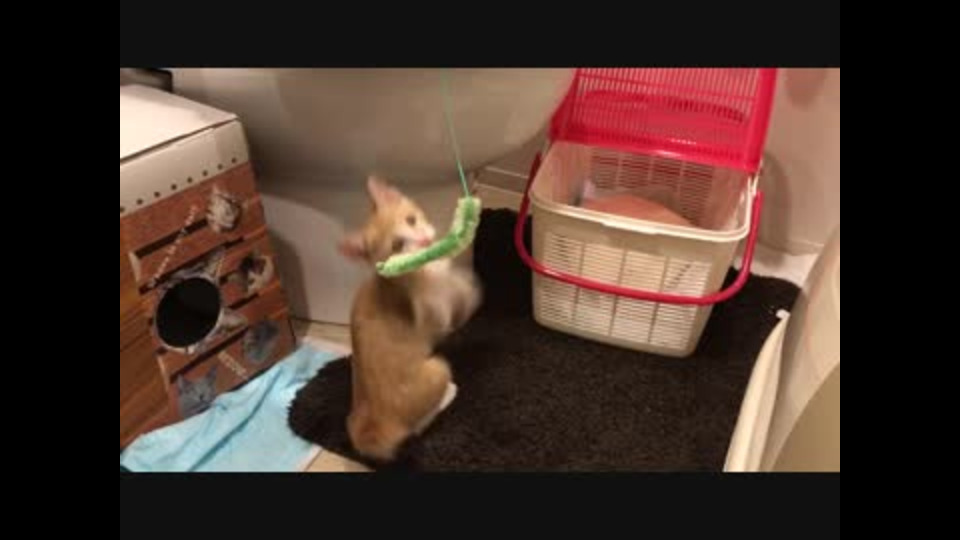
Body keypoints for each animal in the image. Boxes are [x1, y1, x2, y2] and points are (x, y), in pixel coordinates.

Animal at [337, 176, 482, 462]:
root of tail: (377, 426)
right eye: (397, 246)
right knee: (417, 427)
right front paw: (467, 289)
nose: (425, 241)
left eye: (411, 220)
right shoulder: (433, 314)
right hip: (437, 367)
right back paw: (449, 393)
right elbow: (450, 304)